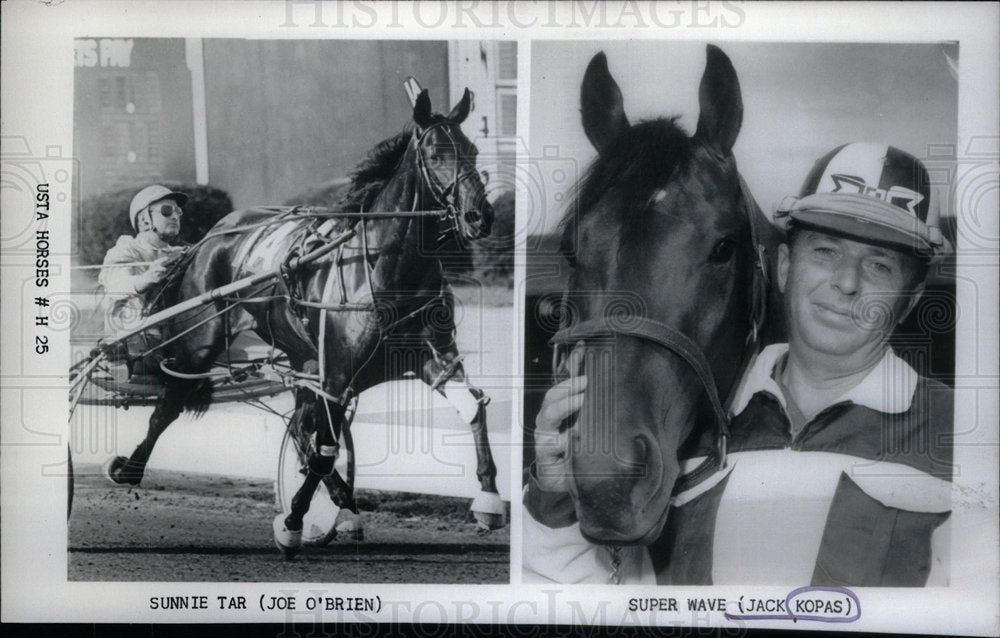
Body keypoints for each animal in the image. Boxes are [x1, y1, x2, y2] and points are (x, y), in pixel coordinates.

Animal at [107, 87, 508, 556]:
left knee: (300, 426)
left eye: (472, 150)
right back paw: (129, 468)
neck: (386, 266)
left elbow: (473, 407)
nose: (481, 216)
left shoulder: (430, 358)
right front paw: (293, 521)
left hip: (302, 358)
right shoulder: (336, 374)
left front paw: (489, 500)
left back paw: (345, 506)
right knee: (169, 405)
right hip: (199, 342)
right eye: (435, 154)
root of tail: (211, 235)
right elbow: (323, 450)